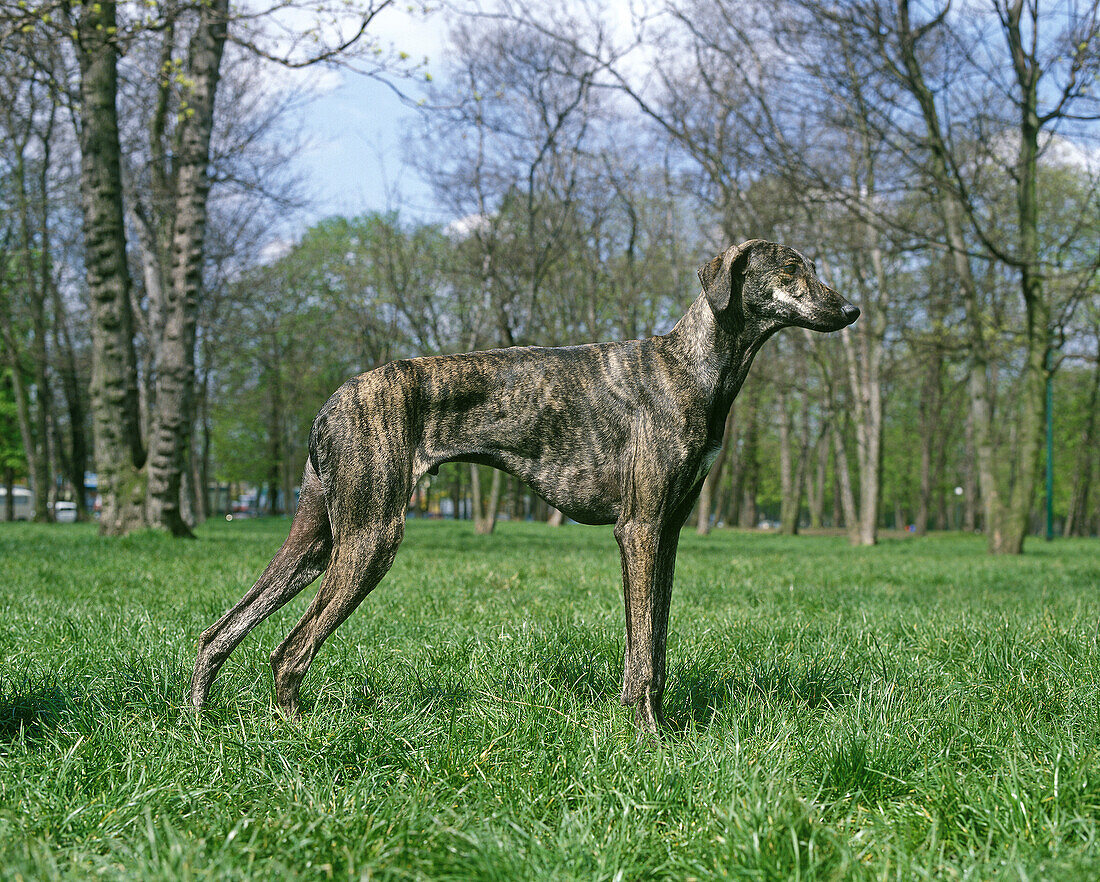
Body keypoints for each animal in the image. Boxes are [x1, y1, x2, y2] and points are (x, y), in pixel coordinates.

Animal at [189, 237, 858, 730]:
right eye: (791, 269)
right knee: (288, 650)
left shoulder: (667, 533)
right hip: (369, 539)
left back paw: (200, 720)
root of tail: (332, 400)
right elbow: (643, 650)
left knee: (220, 631)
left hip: (317, 540)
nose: (851, 310)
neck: (689, 365)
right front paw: (647, 735)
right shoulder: (639, 529)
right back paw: (294, 730)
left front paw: (652, 723)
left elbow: (656, 641)